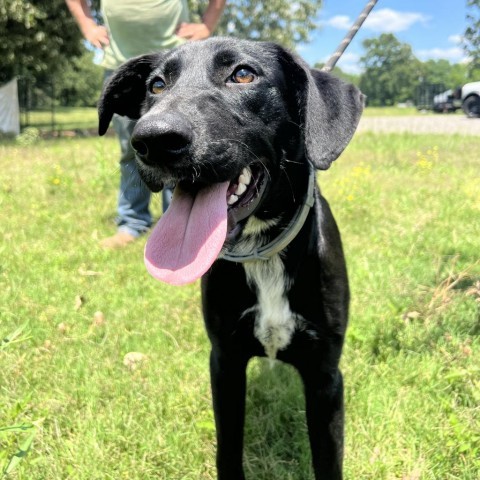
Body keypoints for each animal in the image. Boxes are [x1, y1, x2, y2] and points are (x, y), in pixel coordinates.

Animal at [97, 38, 364, 480]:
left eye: (243, 74)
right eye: (156, 85)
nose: (153, 139)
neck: (263, 253)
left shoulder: (326, 377)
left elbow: (328, 460)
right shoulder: (224, 362)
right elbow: (228, 449)